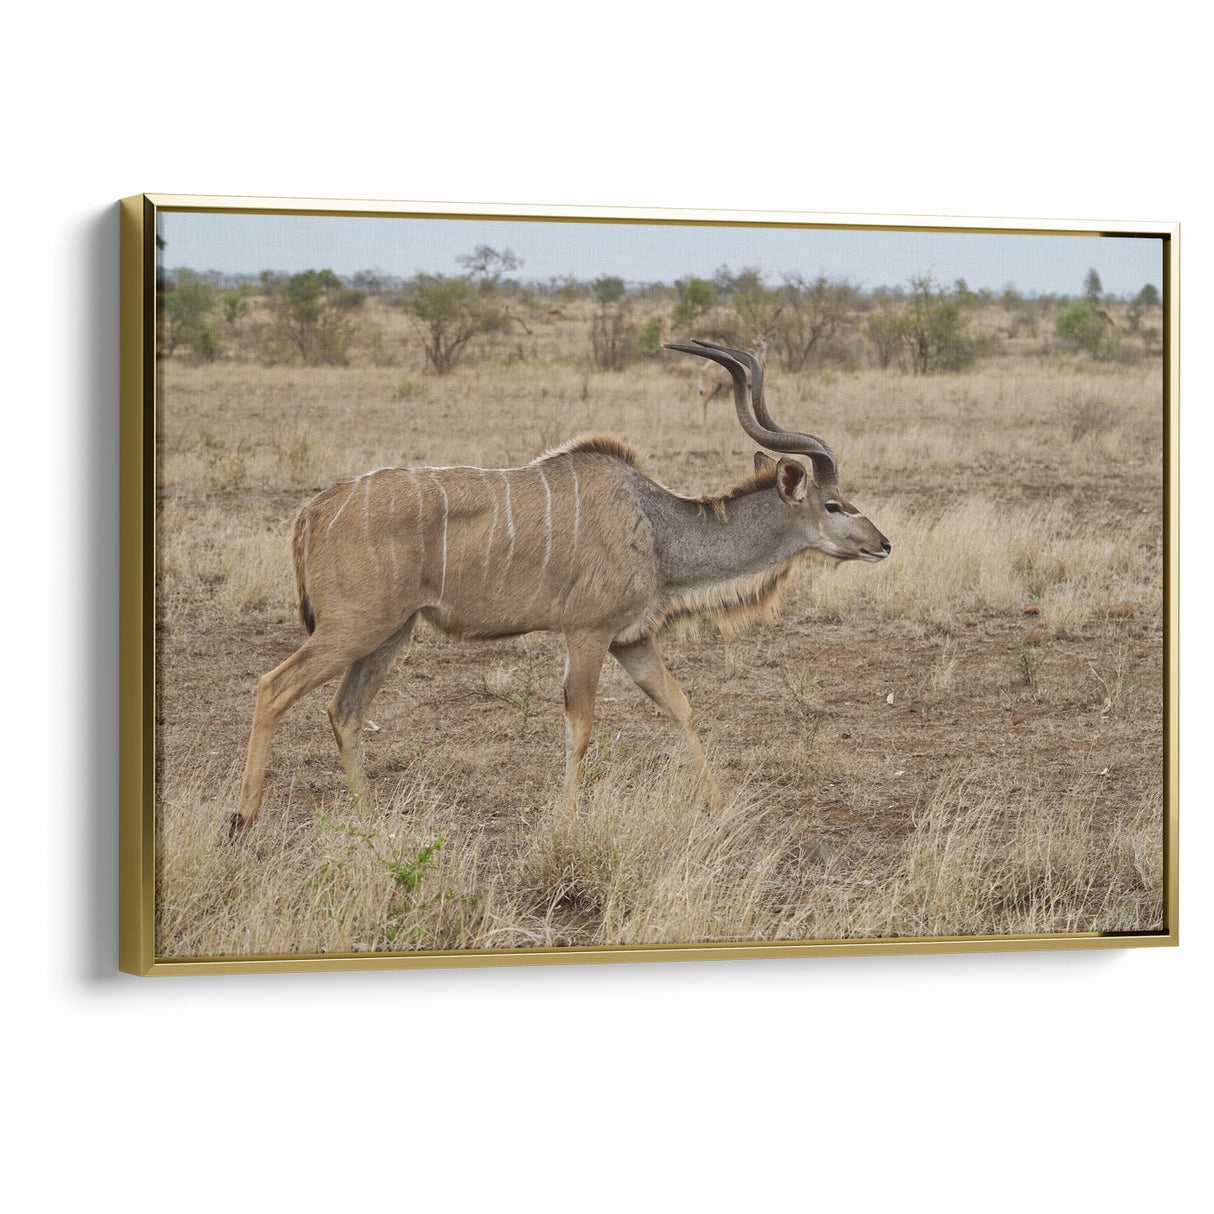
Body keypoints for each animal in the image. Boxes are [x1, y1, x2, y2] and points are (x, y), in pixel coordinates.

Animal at [232, 341, 890, 833]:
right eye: (834, 504)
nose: (882, 544)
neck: (656, 526)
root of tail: (314, 510)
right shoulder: (587, 634)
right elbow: (581, 726)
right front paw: (570, 821)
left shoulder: (632, 641)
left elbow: (681, 707)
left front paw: (721, 807)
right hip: (354, 627)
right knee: (274, 687)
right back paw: (243, 820)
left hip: (391, 632)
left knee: (343, 711)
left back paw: (371, 825)